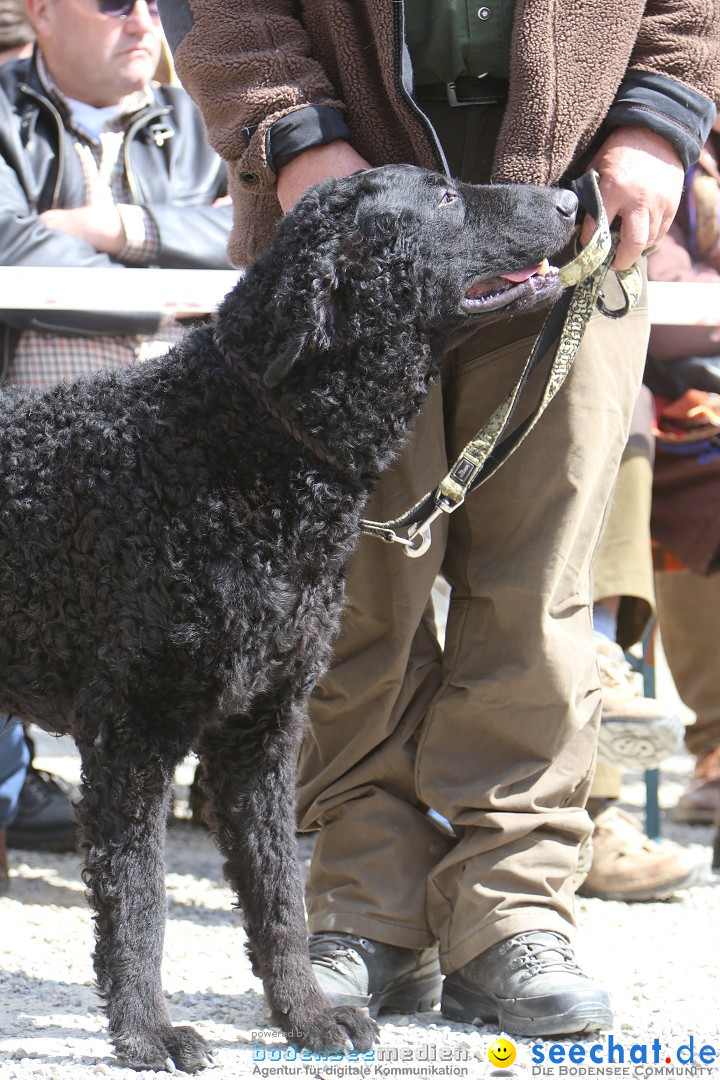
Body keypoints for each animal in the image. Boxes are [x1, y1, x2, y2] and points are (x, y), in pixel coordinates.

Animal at [0, 162, 574, 1071]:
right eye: (445, 197)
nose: (575, 201)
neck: (244, 440)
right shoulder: (132, 736)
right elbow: (139, 904)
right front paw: (148, 1031)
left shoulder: (263, 732)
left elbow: (280, 899)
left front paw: (308, 1016)